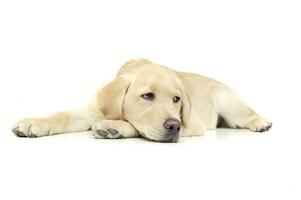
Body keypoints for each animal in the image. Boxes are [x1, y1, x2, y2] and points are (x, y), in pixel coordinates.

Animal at [11, 58, 270, 143]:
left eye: (176, 99)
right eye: (147, 96)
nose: (174, 126)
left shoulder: (192, 125)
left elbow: (136, 126)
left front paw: (114, 127)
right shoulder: (92, 110)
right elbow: (62, 115)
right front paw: (32, 123)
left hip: (228, 102)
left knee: (248, 113)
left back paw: (261, 122)